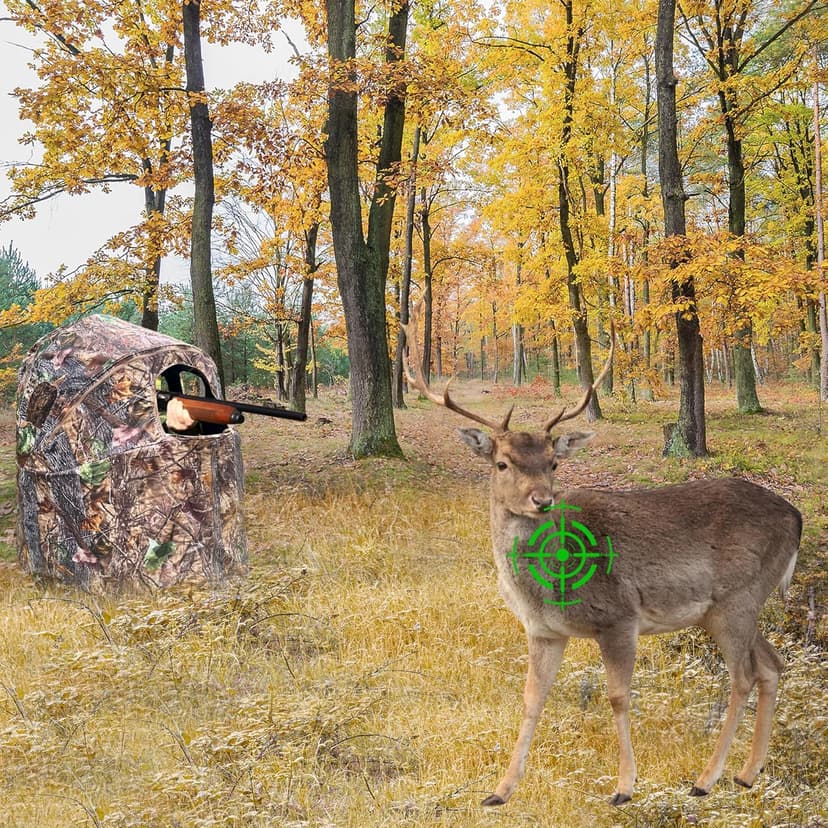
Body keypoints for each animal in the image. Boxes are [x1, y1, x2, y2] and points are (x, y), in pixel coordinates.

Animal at [401, 304, 801, 808]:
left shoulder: (618, 617)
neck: (547, 586)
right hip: (725, 609)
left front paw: (624, 786)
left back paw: (706, 779)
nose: (542, 500)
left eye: (554, 463)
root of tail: (796, 517)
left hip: (739, 597)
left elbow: (618, 697)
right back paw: (747, 773)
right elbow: (531, 699)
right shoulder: (544, 631)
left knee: (743, 675)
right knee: (771, 665)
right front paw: (500, 790)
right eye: (502, 463)